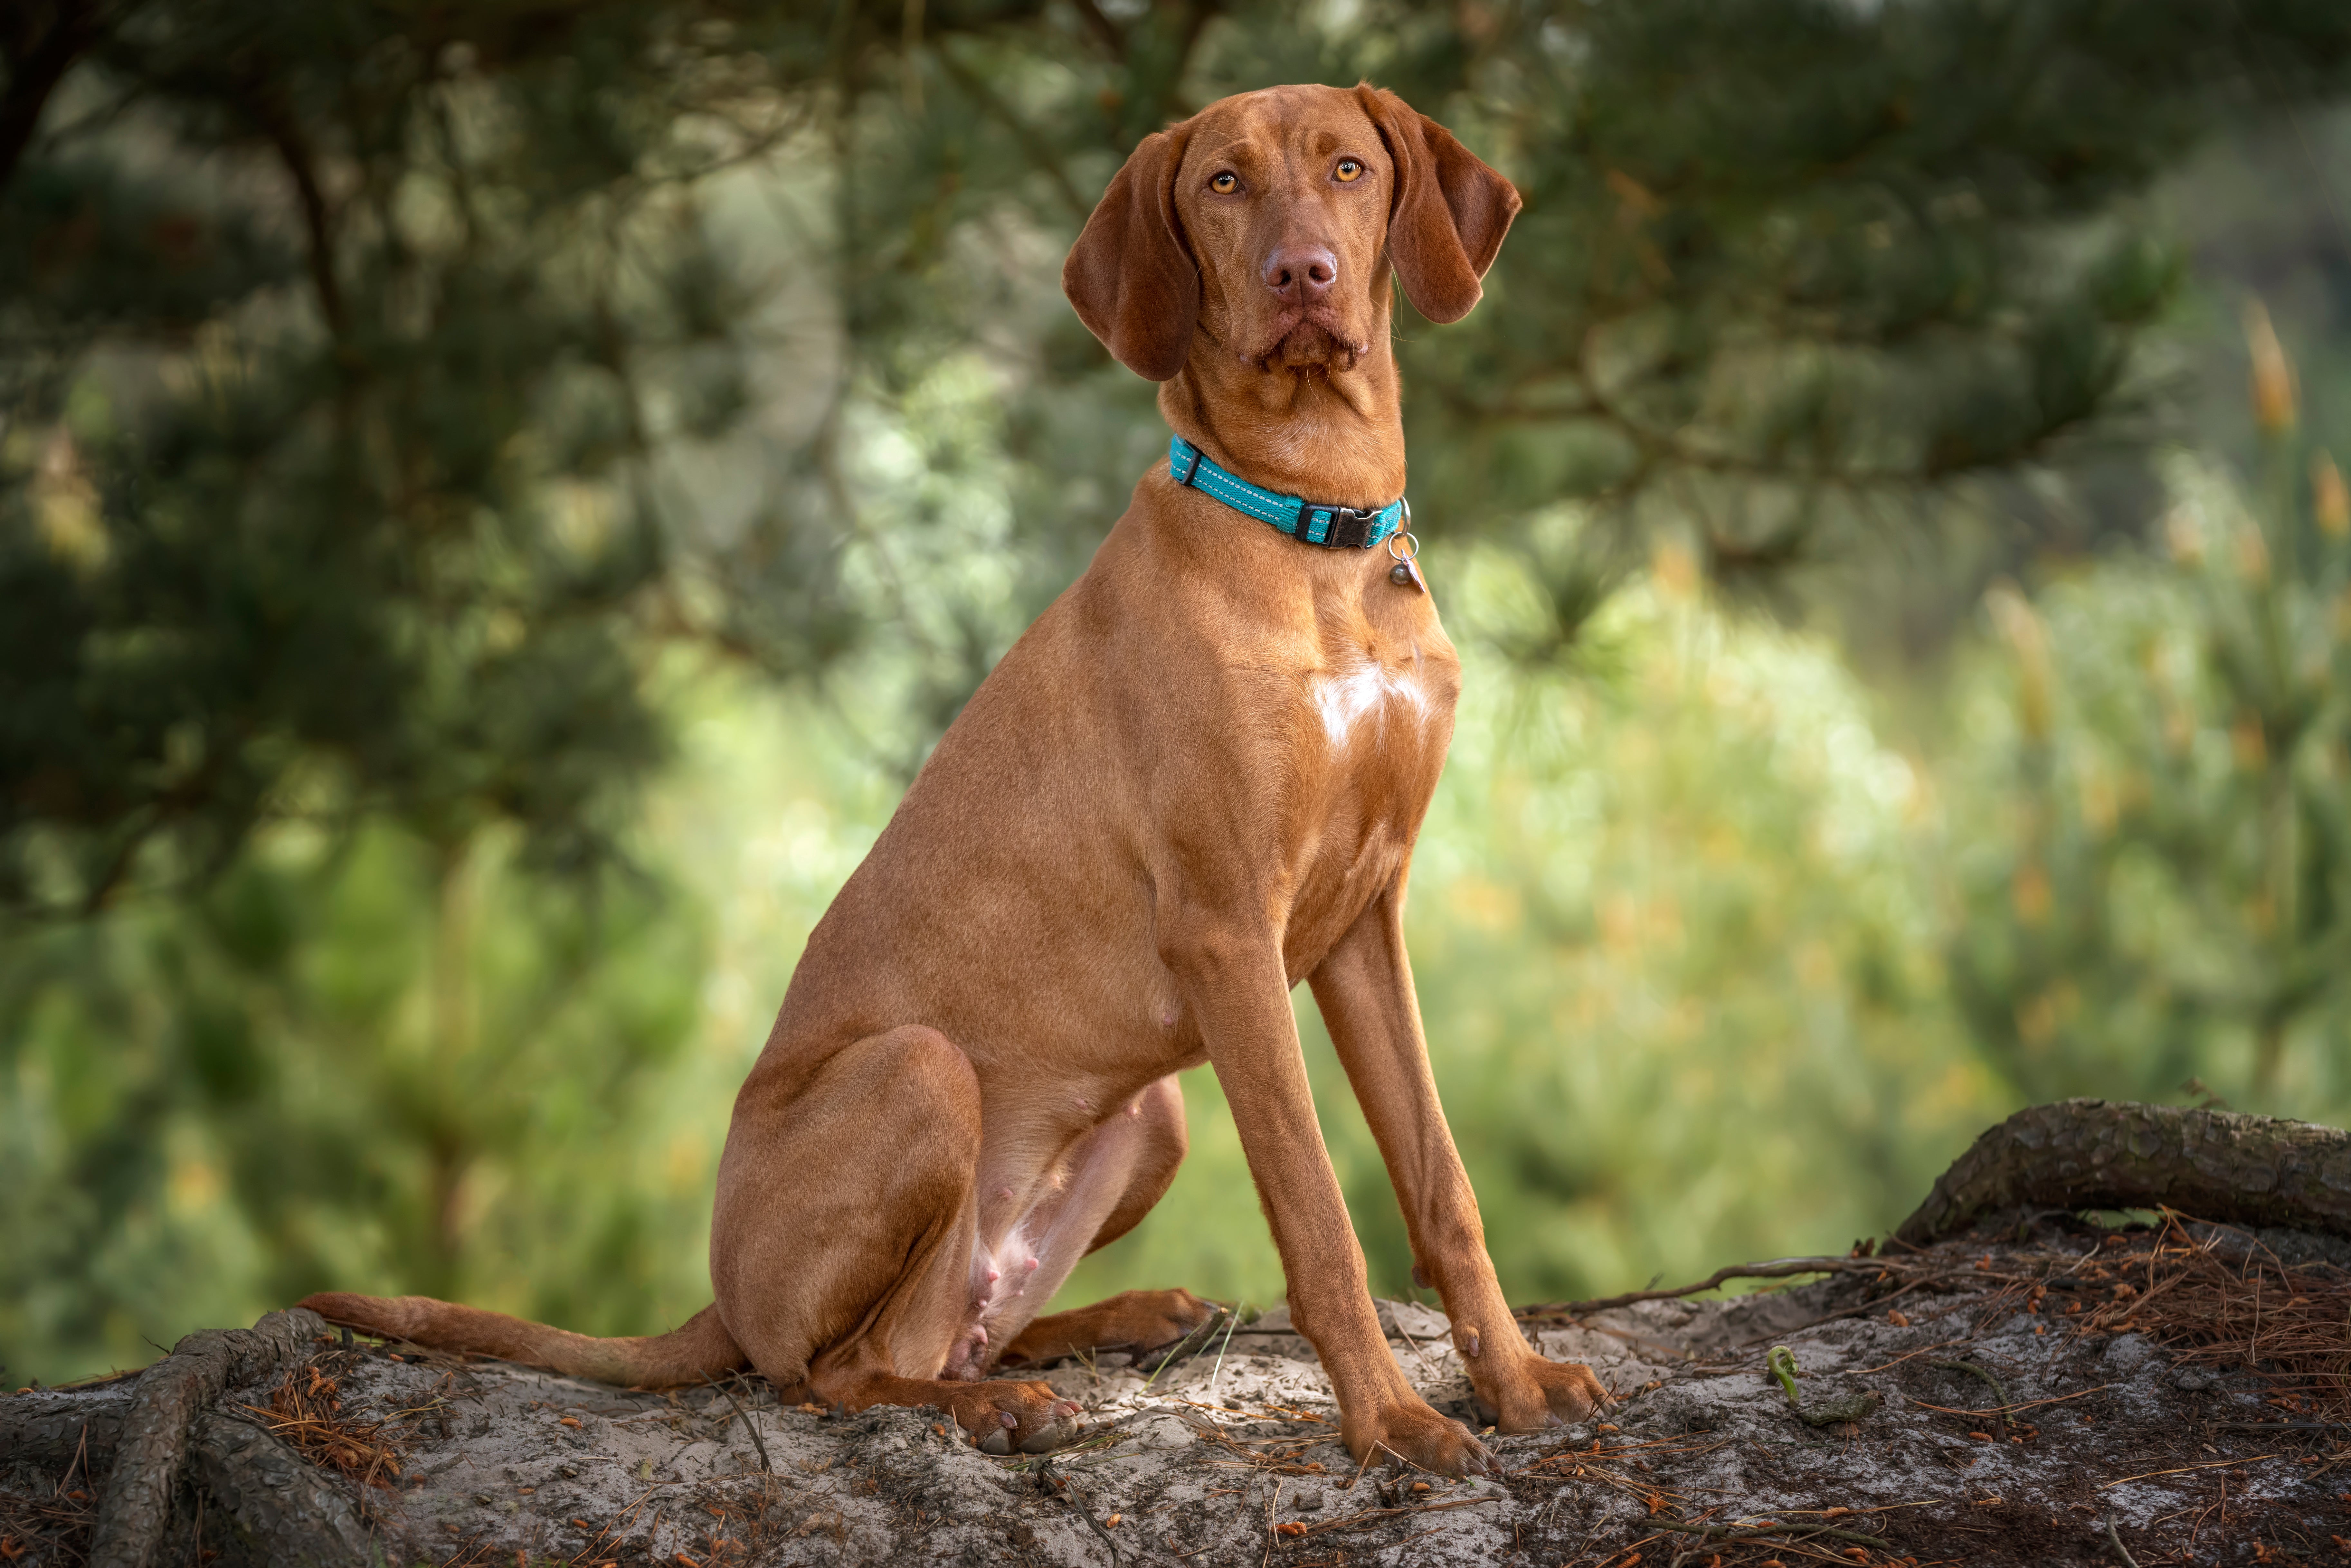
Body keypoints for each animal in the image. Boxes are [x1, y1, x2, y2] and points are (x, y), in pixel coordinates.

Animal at [299, 83, 1617, 1486]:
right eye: (1222, 183)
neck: (1314, 528)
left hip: (1149, 1116)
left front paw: (1517, 1380)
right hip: (925, 1072)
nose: (1301, 274)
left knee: (959, 1333)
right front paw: (1392, 1420)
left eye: (1350, 168)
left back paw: (1116, 1322)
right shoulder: (1227, 931)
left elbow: (1441, 1179)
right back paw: (992, 1408)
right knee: (834, 1372)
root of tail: (719, 1295)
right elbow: (1316, 1204)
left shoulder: (1364, 913)